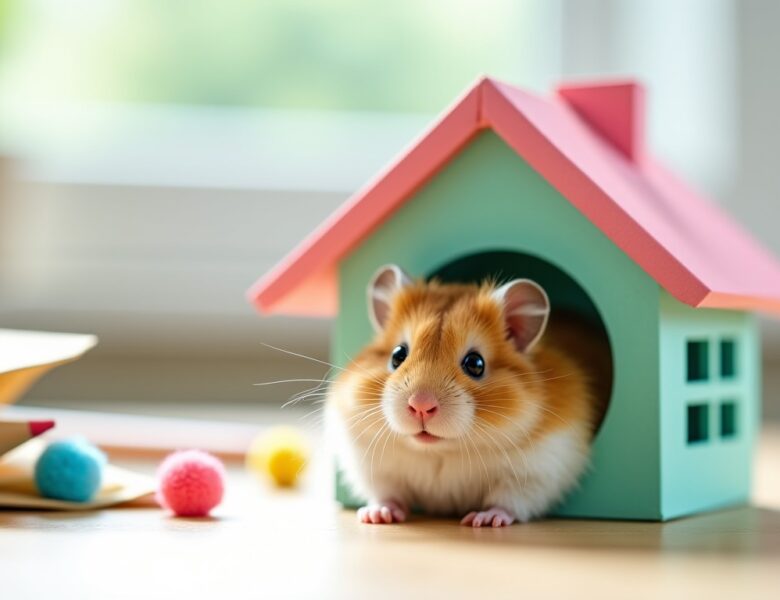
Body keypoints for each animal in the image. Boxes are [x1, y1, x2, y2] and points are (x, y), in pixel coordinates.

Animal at [326, 264, 611, 527]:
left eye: (475, 363)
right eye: (397, 355)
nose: (421, 405)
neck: (441, 451)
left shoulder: (539, 472)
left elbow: (507, 501)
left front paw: (483, 520)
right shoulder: (373, 468)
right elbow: (387, 494)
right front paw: (376, 516)